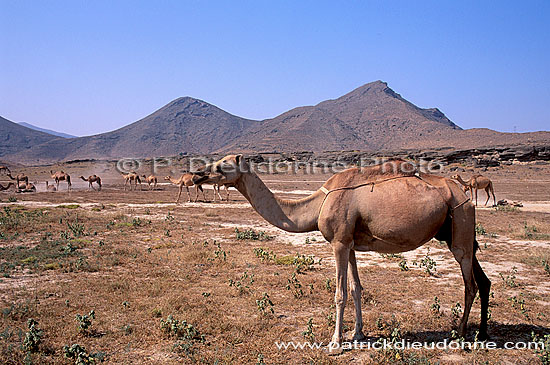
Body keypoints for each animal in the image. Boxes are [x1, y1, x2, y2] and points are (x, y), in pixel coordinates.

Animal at [211, 154, 492, 350]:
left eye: (221, 166)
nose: (201, 174)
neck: (318, 205)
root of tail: (463, 193)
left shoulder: (338, 242)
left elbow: (340, 293)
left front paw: (335, 342)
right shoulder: (350, 244)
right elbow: (356, 288)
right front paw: (358, 334)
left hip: (461, 221)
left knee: (470, 284)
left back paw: (460, 334)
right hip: (456, 232)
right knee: (483, 280)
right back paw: (482, 332)